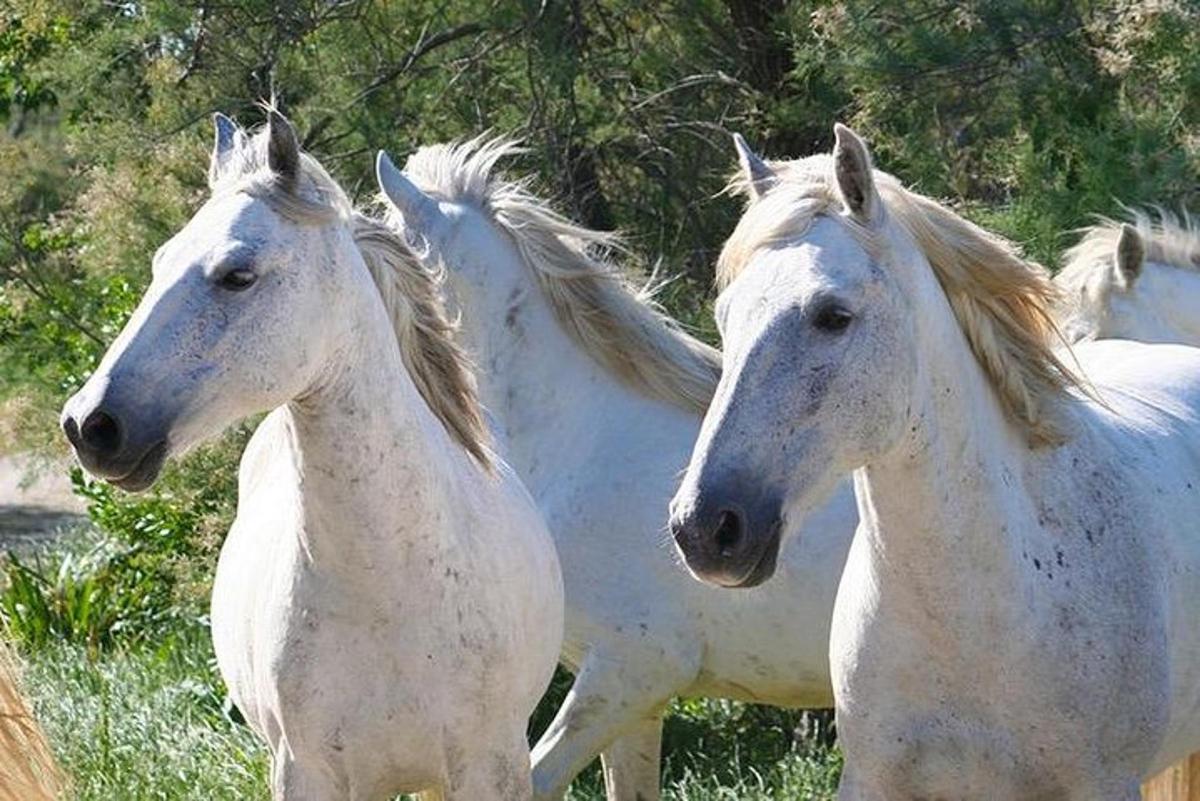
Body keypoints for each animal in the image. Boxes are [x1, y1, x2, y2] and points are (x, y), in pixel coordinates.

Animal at [56, 113, 561, 801]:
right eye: (160, 263)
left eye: (237, 274)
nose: (90, 425)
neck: (394, 592)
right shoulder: (306, 771)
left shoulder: (492, 766)